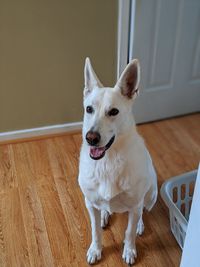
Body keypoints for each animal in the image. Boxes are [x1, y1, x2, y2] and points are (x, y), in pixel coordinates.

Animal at [78, 58, 158, 266]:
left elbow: (129, 232)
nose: (91, 138)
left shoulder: (135, 203)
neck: (108, 162)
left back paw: (139, 224)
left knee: (142, 211)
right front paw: (95, 249)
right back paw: (106, 214)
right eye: (89, 109)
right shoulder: (89, 204)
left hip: (151, 194)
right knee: (105, 209)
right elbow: (95, 230)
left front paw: (129, 250)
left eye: (113, 111)